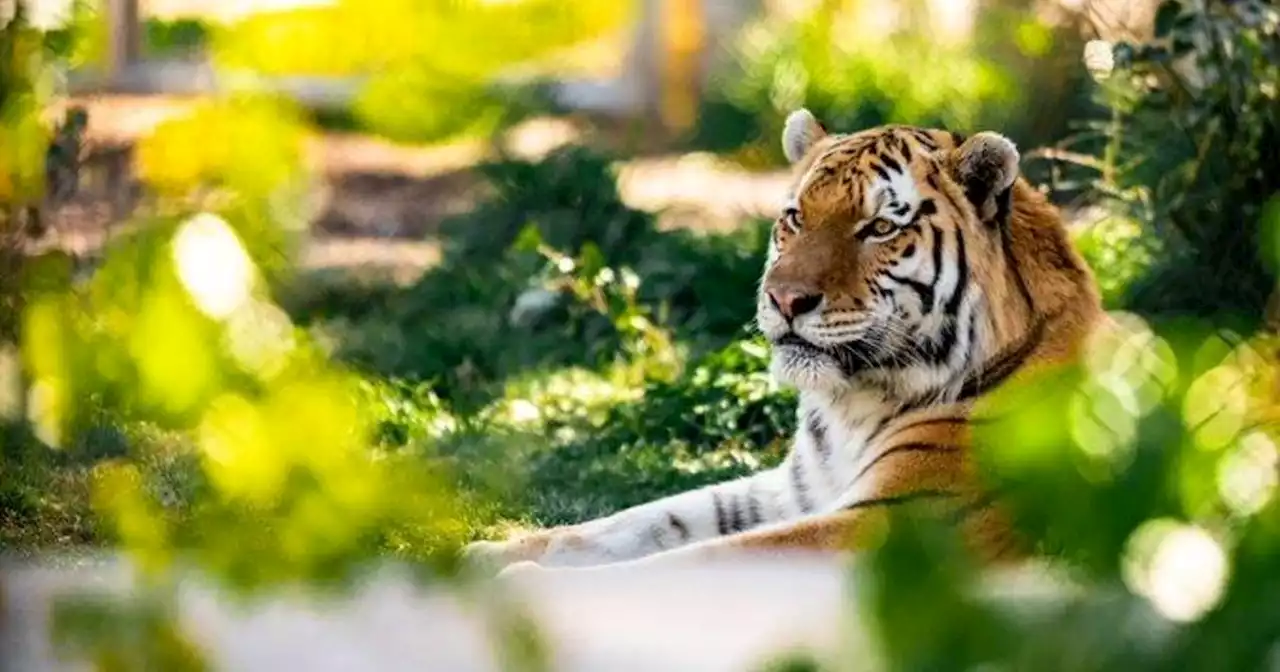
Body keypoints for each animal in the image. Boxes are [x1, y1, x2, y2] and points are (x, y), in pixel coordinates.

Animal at [465, 108, 1105, 576]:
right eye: (795, 217)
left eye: (880, 227)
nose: (784, 298)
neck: (853, 405)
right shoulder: (790, 493)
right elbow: (638, 522)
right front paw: (486, 553)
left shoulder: (893, 521)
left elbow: (689, 564)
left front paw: (527, 581)